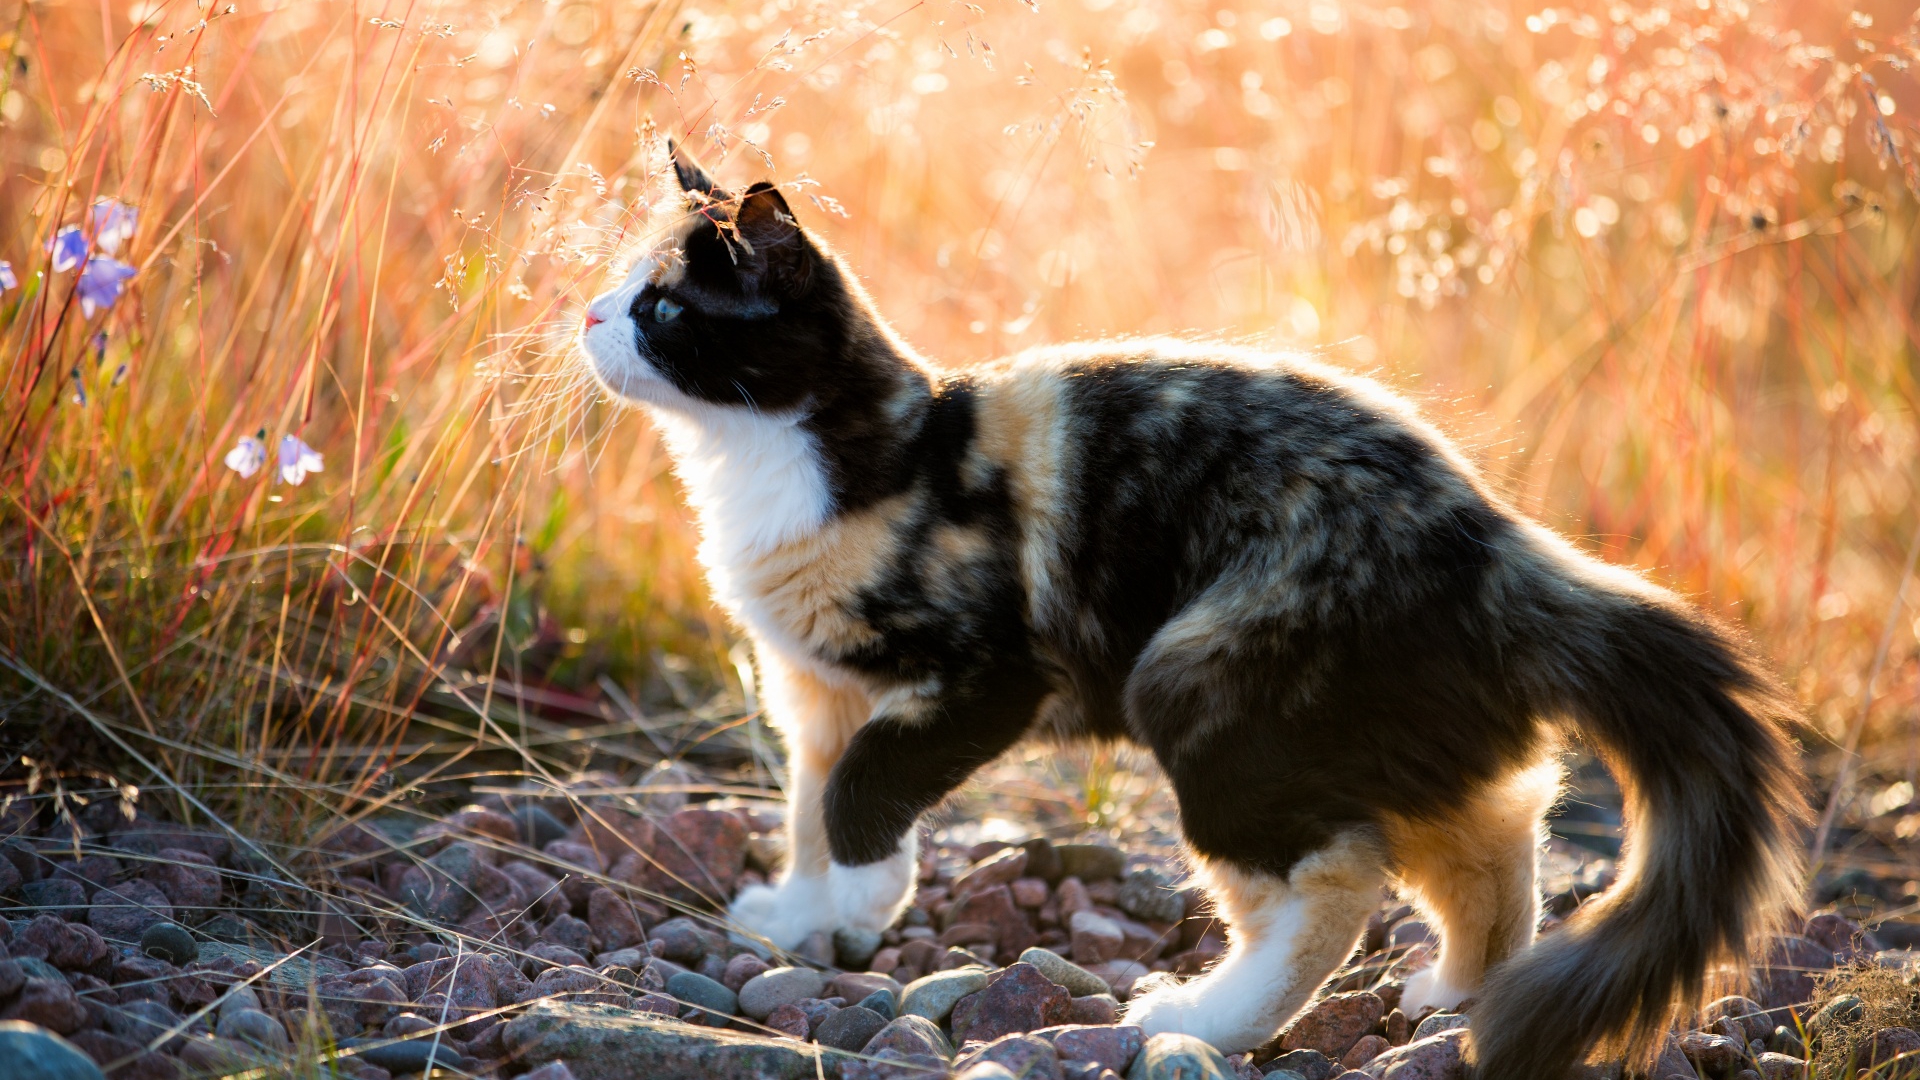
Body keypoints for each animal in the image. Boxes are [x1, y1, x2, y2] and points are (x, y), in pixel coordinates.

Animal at [576, 145, 1804, 1076]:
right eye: (620, 285)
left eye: (663, 305)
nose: (586, 315)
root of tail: (1498, 544)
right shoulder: (814, 692)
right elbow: (806, 807)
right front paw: (800, 914)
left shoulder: (983, 678)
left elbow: (861, 795)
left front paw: (870, 899)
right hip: (1366, 734)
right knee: (1494, 830)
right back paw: (1464, 990)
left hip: (1204, 690)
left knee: (1333, 885)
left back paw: (1203, 1019)